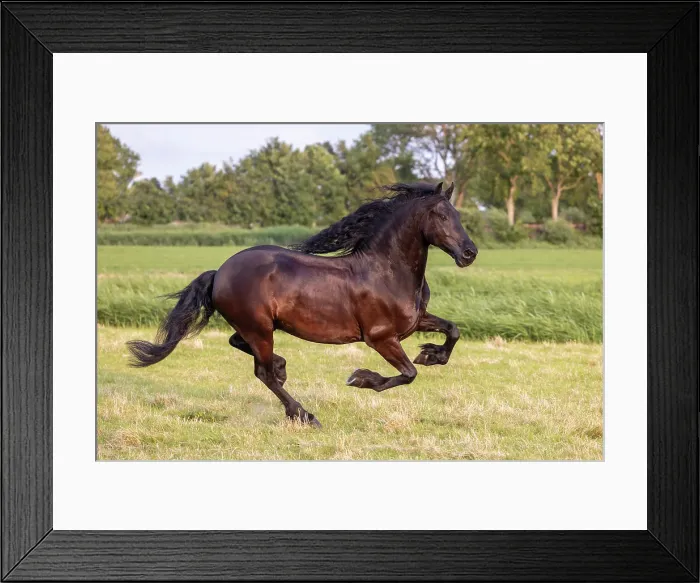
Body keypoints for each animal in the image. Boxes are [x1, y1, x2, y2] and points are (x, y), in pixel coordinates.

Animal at [127, 181, 478, 428]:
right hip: (259, 328)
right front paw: (360, 378)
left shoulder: (414, 322)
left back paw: (283, 368)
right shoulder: (380, 337)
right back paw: (304, 414)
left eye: (459, 215)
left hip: (258, 327)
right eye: (442, 216)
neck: (386, 272)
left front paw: (431, 354)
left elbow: (453, 331)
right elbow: (408, 373)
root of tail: (219, 272)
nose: (470, 253)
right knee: (262, 372)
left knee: (242, 347)